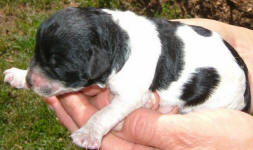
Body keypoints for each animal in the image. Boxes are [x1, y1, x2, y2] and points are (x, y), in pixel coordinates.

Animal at [3, 7, 251, 149]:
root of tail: (246, 89)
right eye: (36, 53)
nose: (30, 82)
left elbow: (105, 113)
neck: (116, 36)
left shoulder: (130, 96)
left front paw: (88, 134)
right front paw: (18, 74)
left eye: (59, 67)